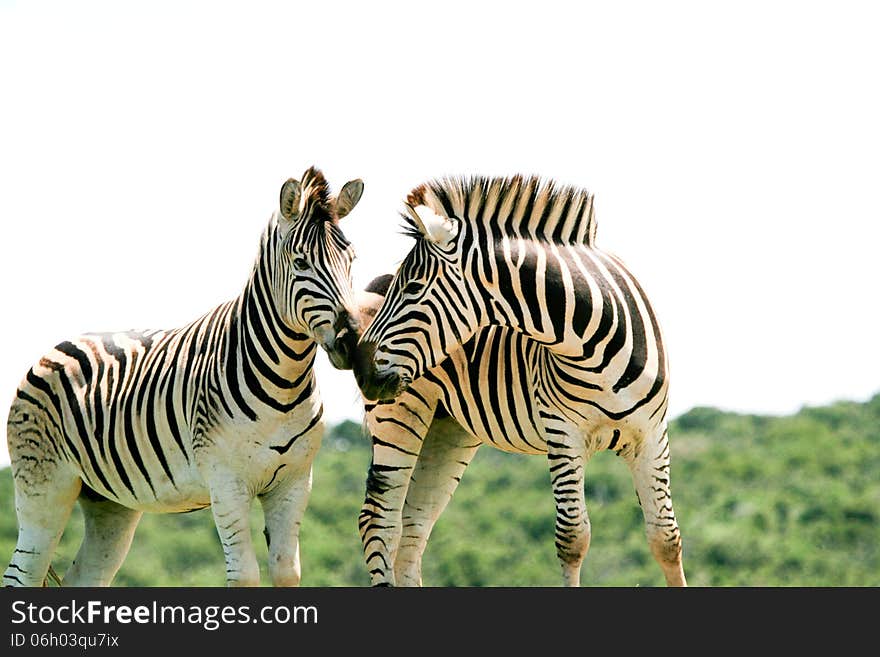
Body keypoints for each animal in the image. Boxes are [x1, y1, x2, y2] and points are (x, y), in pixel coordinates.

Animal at [3, 167, 364, 588]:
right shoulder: (226, 484)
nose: (352, 342)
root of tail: (51, 350)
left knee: (85, 575)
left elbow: (286, 572)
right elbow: (245, 575)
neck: (285, 382)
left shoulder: (294, 483)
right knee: (21, 574)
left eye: (352, 259)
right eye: (301, 262)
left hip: (108, 501)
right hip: (44, 488)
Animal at [352, 173, 688, 584]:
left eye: (413, 288)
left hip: (447, 427)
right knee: (379, 521)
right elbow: (573, 537)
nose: (361, 369)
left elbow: (666, 538)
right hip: (399, 415)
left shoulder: (652, 435)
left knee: (414, 527)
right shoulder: (564, 435)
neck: (593, 346)